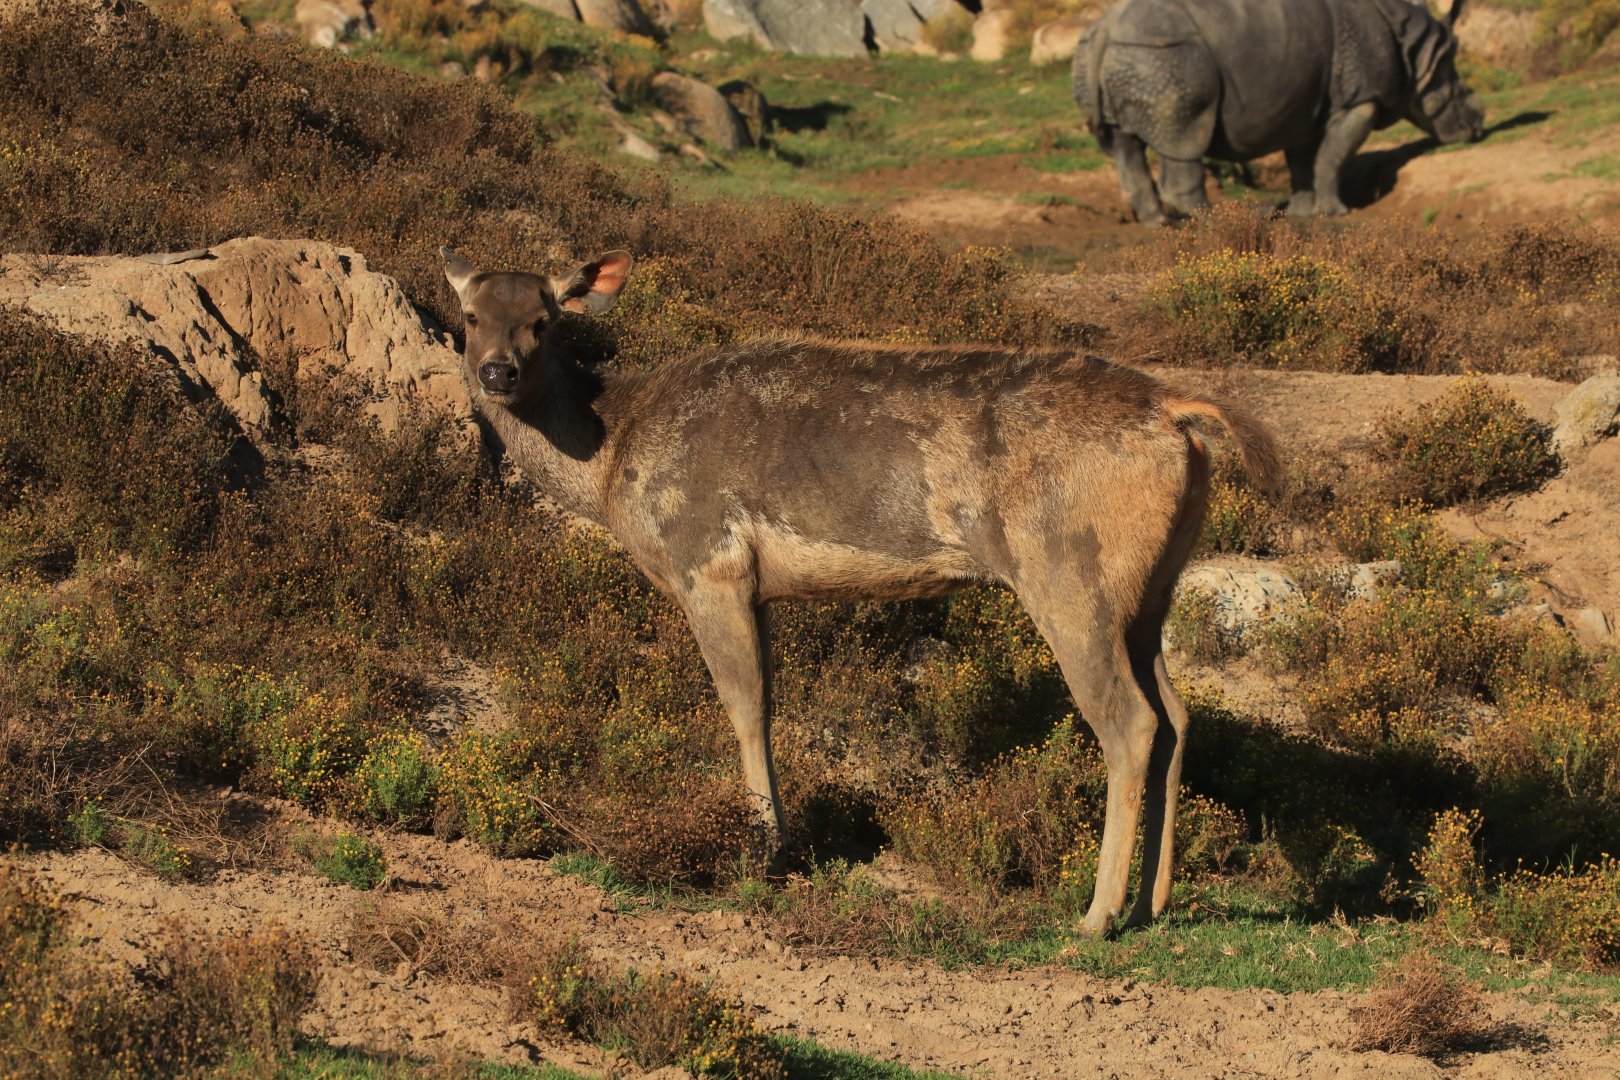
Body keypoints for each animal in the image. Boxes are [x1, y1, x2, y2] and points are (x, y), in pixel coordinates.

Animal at [439, 246, 1279, 935]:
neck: (612, 461)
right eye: (471, 315)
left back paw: (1097, 914)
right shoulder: (757, 586)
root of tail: (1176, 414)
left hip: (1069, 572)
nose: (496, 372)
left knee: (1130, 720)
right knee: (1177, 713)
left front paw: (764, 852)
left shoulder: (708, 559)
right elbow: (770, 702)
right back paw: (1152, 903)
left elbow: (745, 707)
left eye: (545, 320)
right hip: (1150, 586)